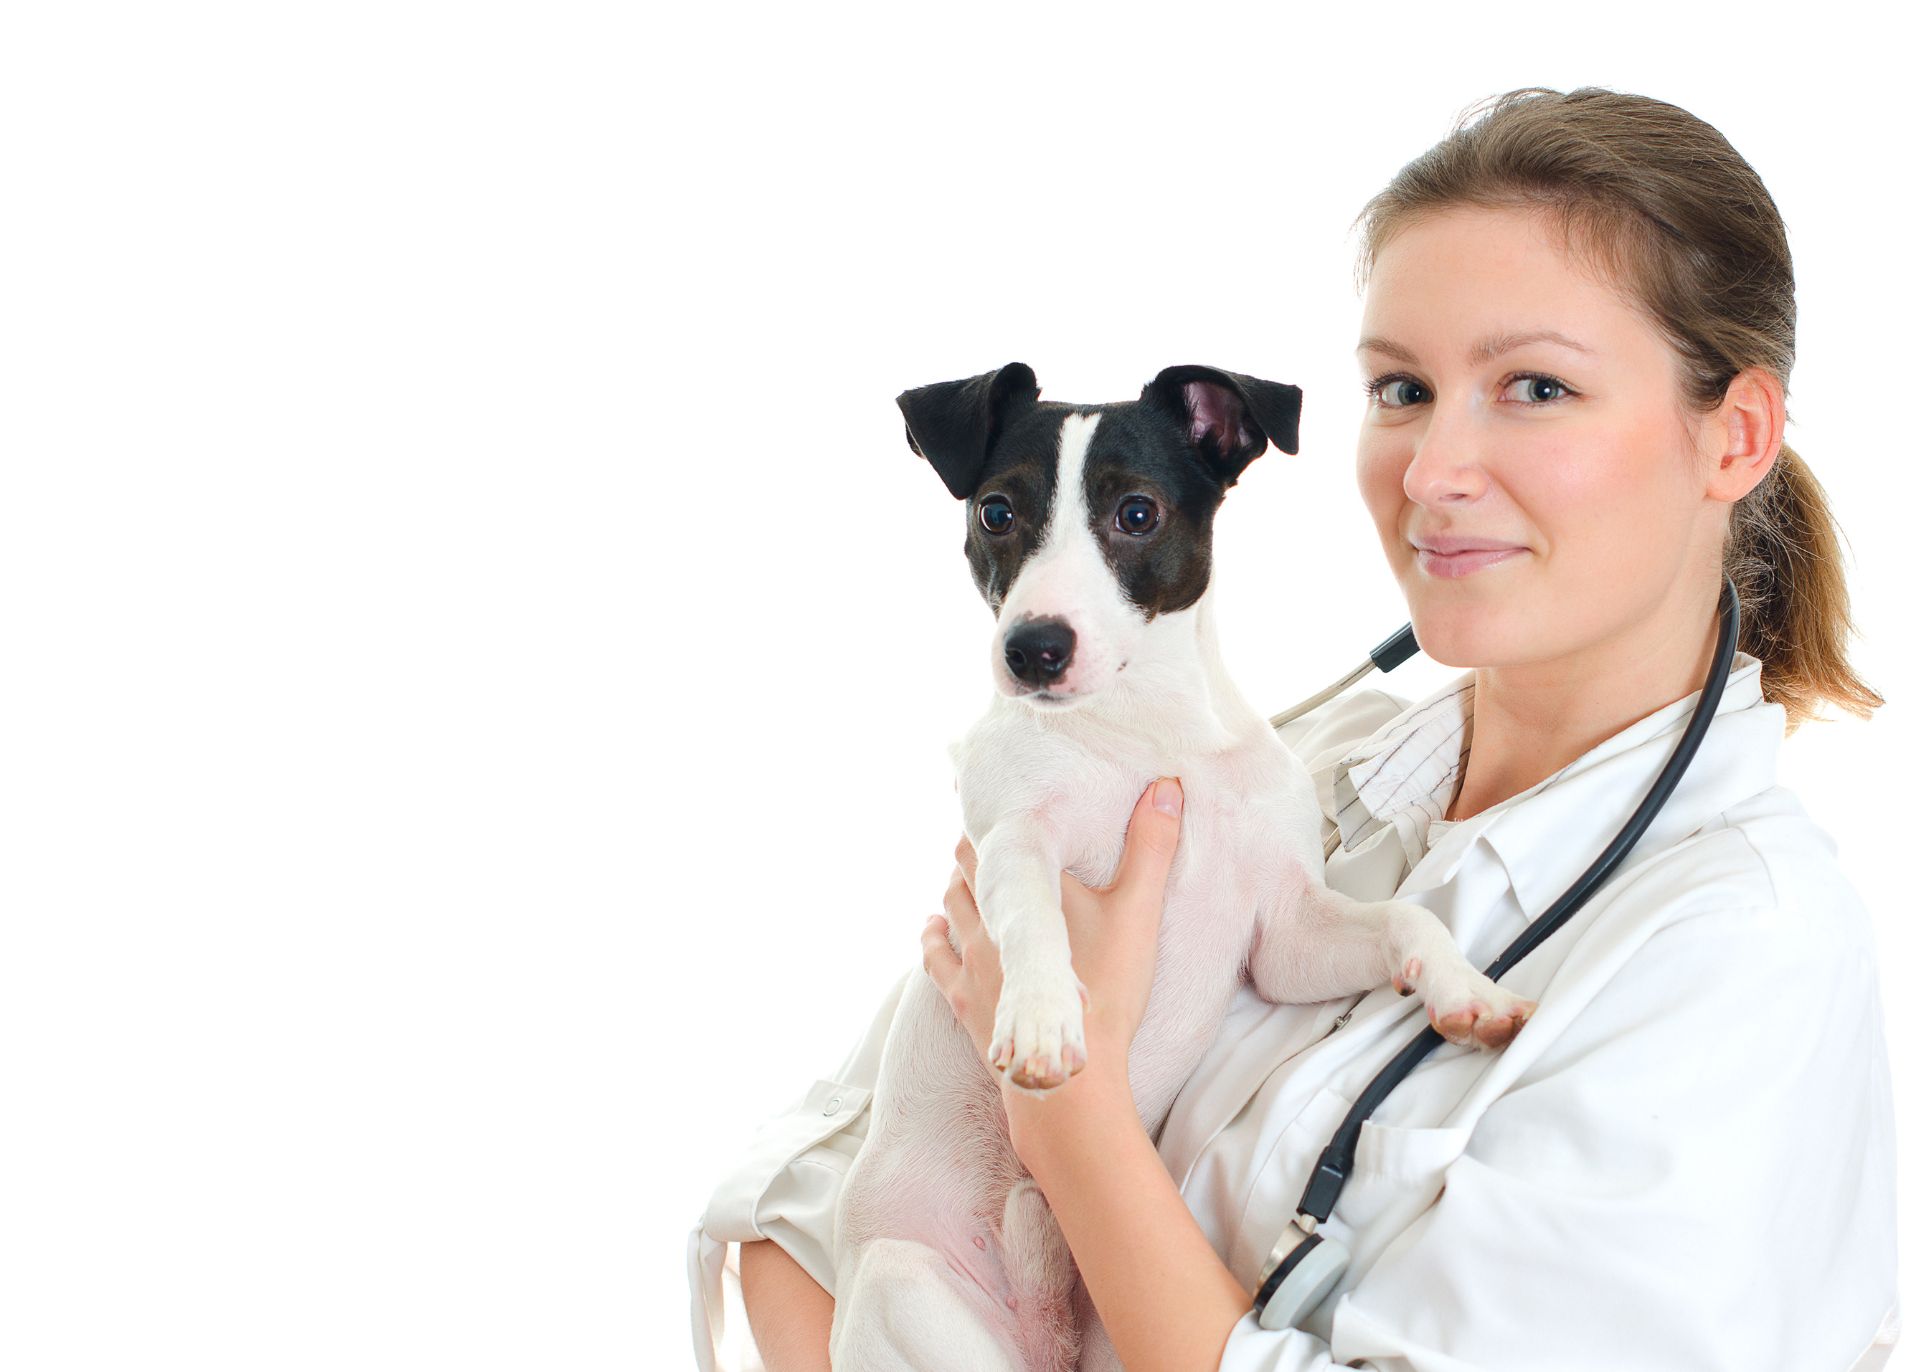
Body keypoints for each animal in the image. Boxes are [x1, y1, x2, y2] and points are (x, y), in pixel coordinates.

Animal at [825, 364, 1528, 1372]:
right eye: (997, 512)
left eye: (1137, 512)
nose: (1032, 650)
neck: (1147, 733)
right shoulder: (1012, 839)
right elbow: (1031, 909)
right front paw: (1041, 1017)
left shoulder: (1283, 936)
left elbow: (1408, 917)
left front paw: (1467, 988)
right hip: (906, 1287)